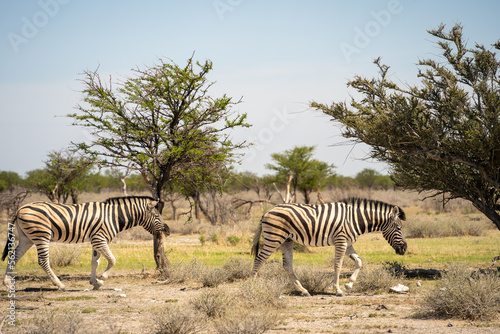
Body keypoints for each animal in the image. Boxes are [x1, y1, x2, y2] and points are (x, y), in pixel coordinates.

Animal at [0, 196, 170, 290]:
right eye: (156, 215)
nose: (168, 231)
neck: (115, 217)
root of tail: (19, 209)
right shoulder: (100, 239)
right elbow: (112, 260)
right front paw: (101, 280)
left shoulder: (96, 240)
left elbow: (95, 261)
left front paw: (94, 282)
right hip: (41, 235)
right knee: (43, 261)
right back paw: (60, 285)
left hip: (26, 238)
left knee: (14, 256)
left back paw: (7, 284)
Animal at [250, 197, 406, 296]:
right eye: (398, 228)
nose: (404, 249)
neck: (355, 220)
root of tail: (266, 212)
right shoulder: (341, 241)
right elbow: (338, 265)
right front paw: (338, 290)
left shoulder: (348, 243)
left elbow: (359, 262)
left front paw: (349, 285)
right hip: (274, 238)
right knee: (259, 260)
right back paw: (252, 286)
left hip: (286, 240)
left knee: (287, 265)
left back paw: (304, 291)